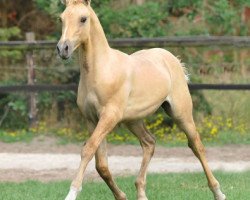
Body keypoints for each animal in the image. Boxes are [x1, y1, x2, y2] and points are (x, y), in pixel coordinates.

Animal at [56, 0, 227, 200]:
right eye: (61, 18)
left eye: (83, 19)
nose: (63, 49)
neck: (102, 70)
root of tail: (172, 58)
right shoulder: (92, 120)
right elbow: (101, 165)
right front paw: (121, 196)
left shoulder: (109, 117)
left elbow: (88, 150)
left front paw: (71, 193)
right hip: (134, 120)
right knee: (149, 143)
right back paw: (141, 192)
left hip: (181, 113)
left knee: (196, 145)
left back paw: (218, 192)